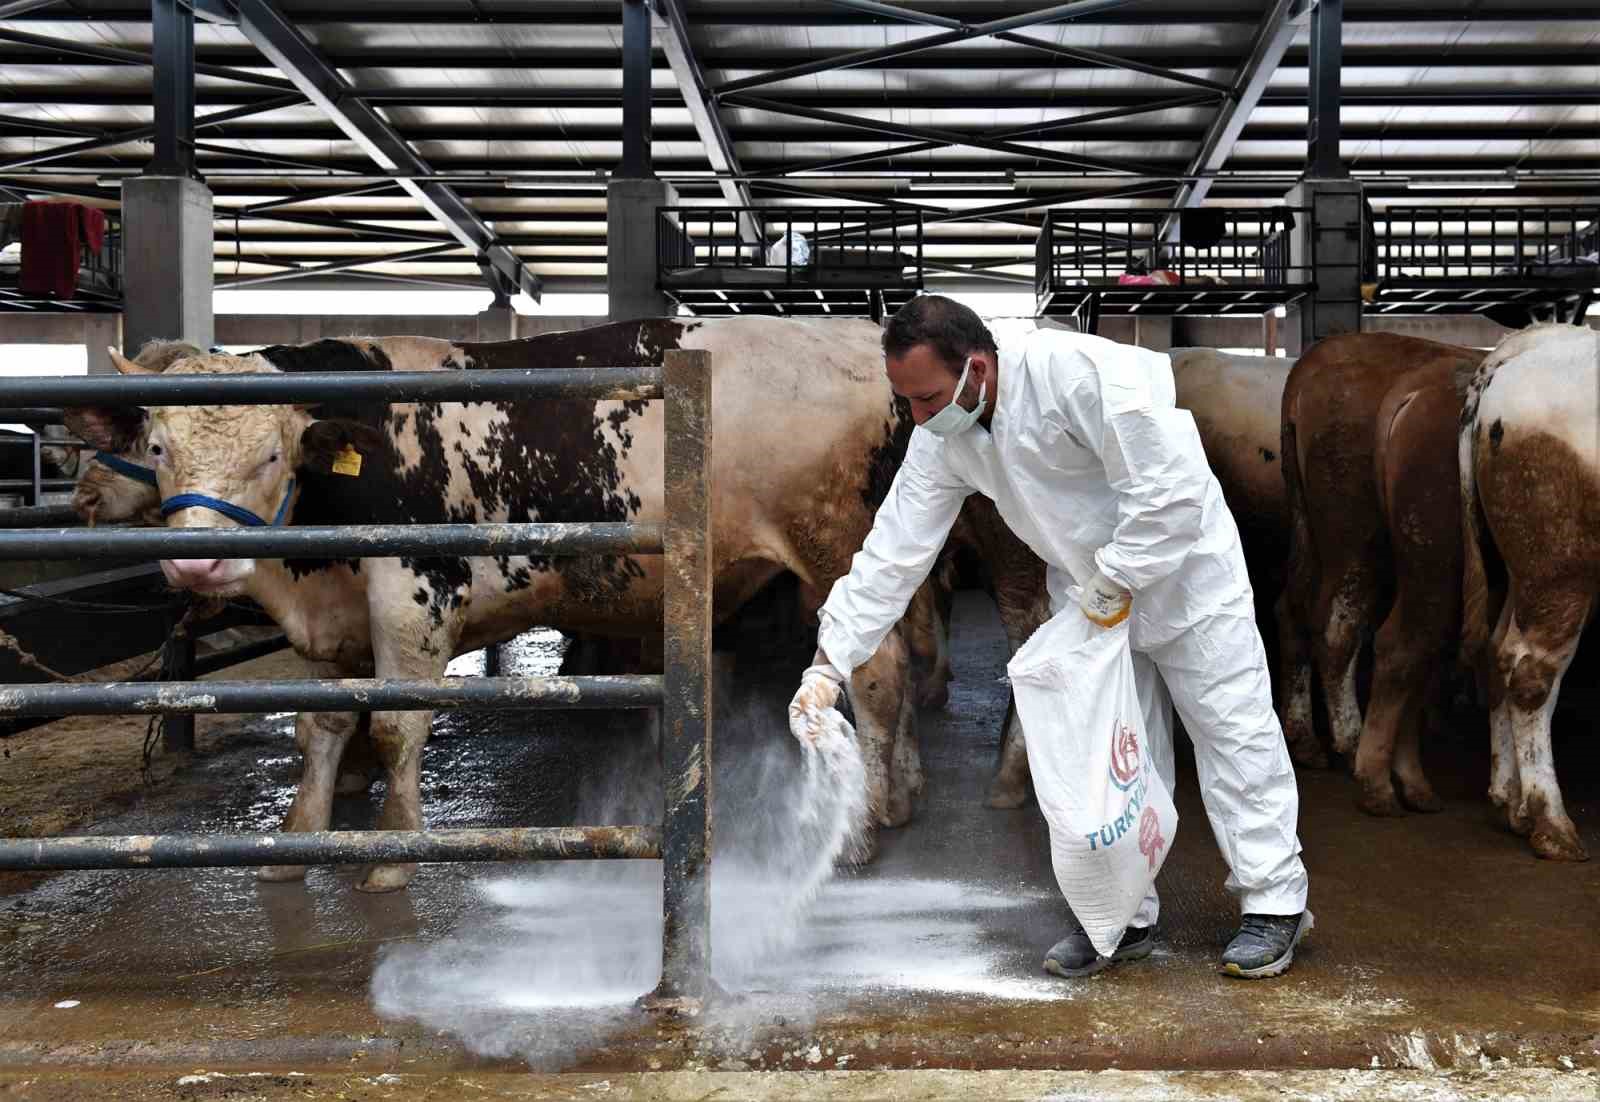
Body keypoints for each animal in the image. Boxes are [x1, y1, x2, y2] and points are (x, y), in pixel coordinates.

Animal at [72, 316, 934, 882]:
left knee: (878, 675)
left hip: (836, 548)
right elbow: (320, 729)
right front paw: (298, 841)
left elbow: (394, 728)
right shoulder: (334, 622)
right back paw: (901, 793)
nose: (198, 561)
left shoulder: (413, 599)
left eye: (270, 455)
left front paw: (393, 854)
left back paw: (863, 825)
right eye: (159, 446)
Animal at [1273, 331, 1484, 812]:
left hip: (1310, 527)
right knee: (1339, 626)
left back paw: (1306, 739)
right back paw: (1352, 741)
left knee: (1293, 608)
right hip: (1357, 536)